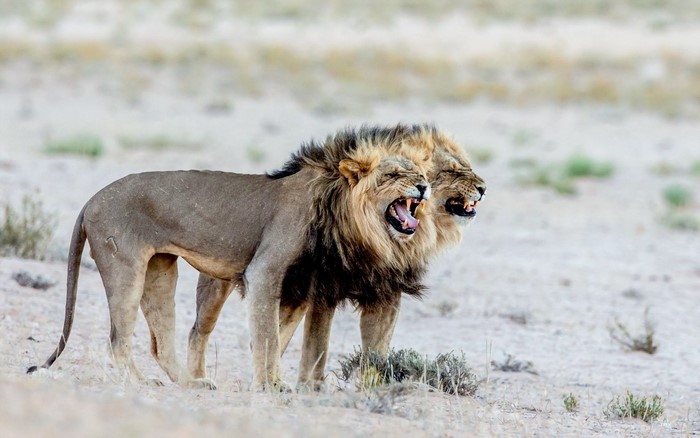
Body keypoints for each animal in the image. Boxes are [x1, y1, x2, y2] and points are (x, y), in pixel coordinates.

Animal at [27, 127, 436, 390]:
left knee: (160, 341)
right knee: (118, 338)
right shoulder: (266, 270)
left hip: (160, 269)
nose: (423, 186)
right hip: (125, 266)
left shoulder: (300, 286)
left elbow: (277, 336)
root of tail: (90, 201)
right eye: (393, 174)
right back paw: (140, 383)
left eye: (418, 172)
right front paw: (271, 387)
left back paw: (191, 383)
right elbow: (268, 336)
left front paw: (272, 382)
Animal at [188, 125, 486, 389]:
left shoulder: (385, 291)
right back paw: (197, 379)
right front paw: (312, 387)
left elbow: (376, 350)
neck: (381, 239)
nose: (483, 188)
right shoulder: (324, 287)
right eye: (451, 170)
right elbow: (317, 345)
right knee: (199, 331)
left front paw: (374, 387)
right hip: (217, 285)